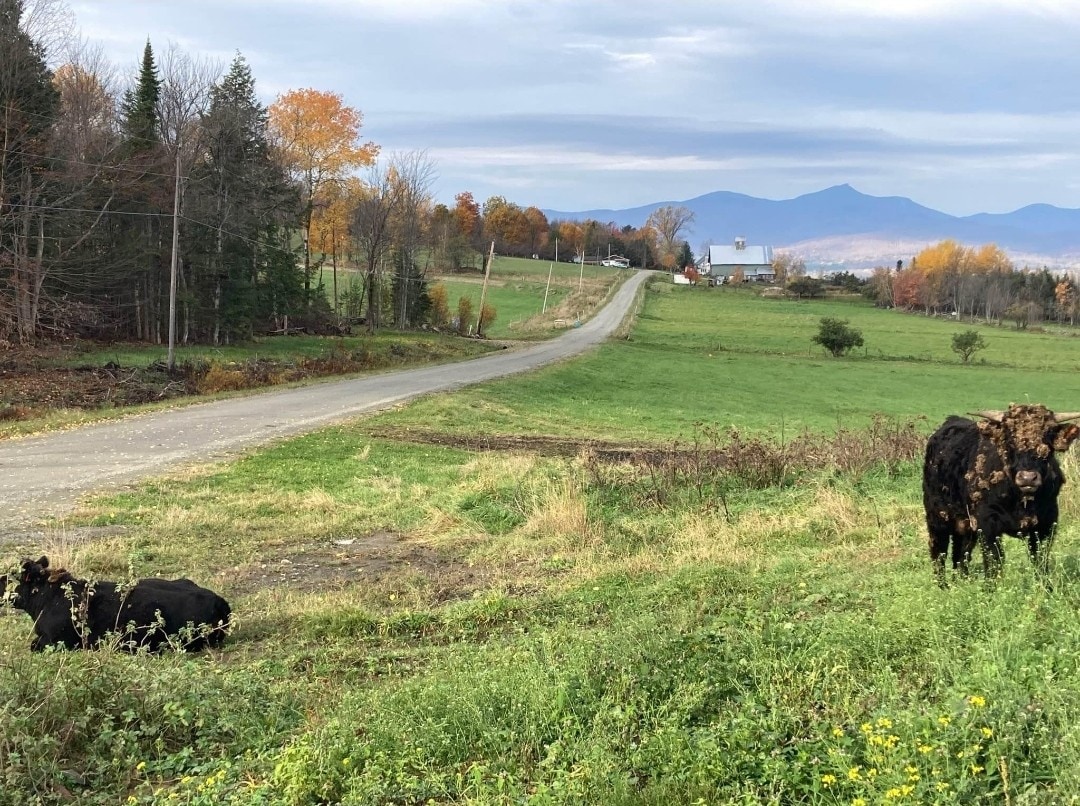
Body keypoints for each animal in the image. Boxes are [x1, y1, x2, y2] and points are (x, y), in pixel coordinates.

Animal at [920, 401, 1080, 583]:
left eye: (1048, 437)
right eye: (1009, 438)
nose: (1027, 478)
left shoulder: (1046, 524)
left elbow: (1040, 562)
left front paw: (1046, 588)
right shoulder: (987, 525)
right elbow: (994, 562)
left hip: (965, 525)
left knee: (960, 555)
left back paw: (960, 584)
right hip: (937, 517)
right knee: (938, 553)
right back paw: (942, 586)